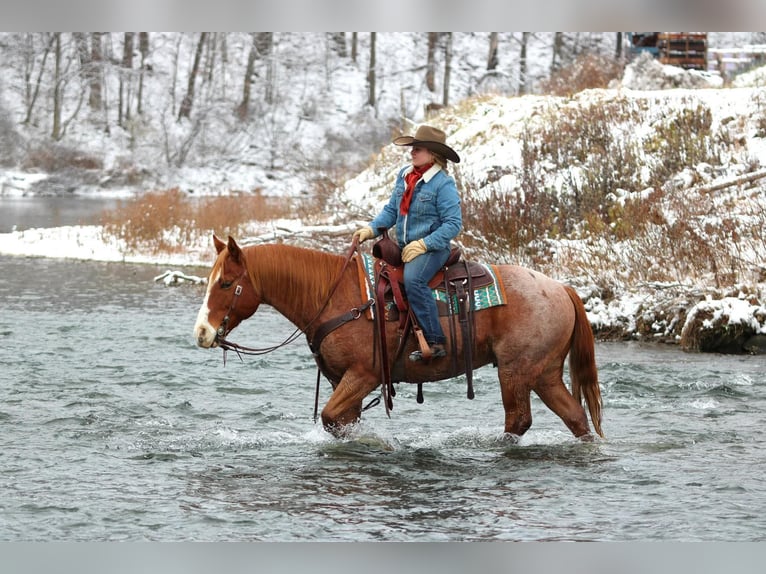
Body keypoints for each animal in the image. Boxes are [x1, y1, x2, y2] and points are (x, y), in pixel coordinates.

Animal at [193, 235, 603, 440]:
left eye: (226, 283)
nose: (202, 332)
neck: (336, 296)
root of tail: (560, 288)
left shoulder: (364, 375)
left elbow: (330, 417)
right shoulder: (343, 381)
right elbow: (341, 422)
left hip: (515, 372)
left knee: (518, 420)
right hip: (544, 373)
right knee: (576, 417)